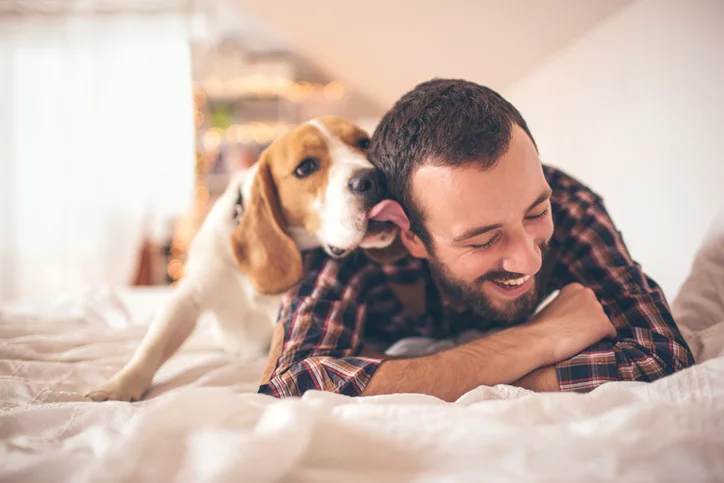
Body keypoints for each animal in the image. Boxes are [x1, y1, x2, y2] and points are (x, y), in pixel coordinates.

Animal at [86, 115, 402, 402]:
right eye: (306, 167)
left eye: (364, 143)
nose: (373, 178)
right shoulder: (188, 297)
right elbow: (153, 345)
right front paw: (119, 385)